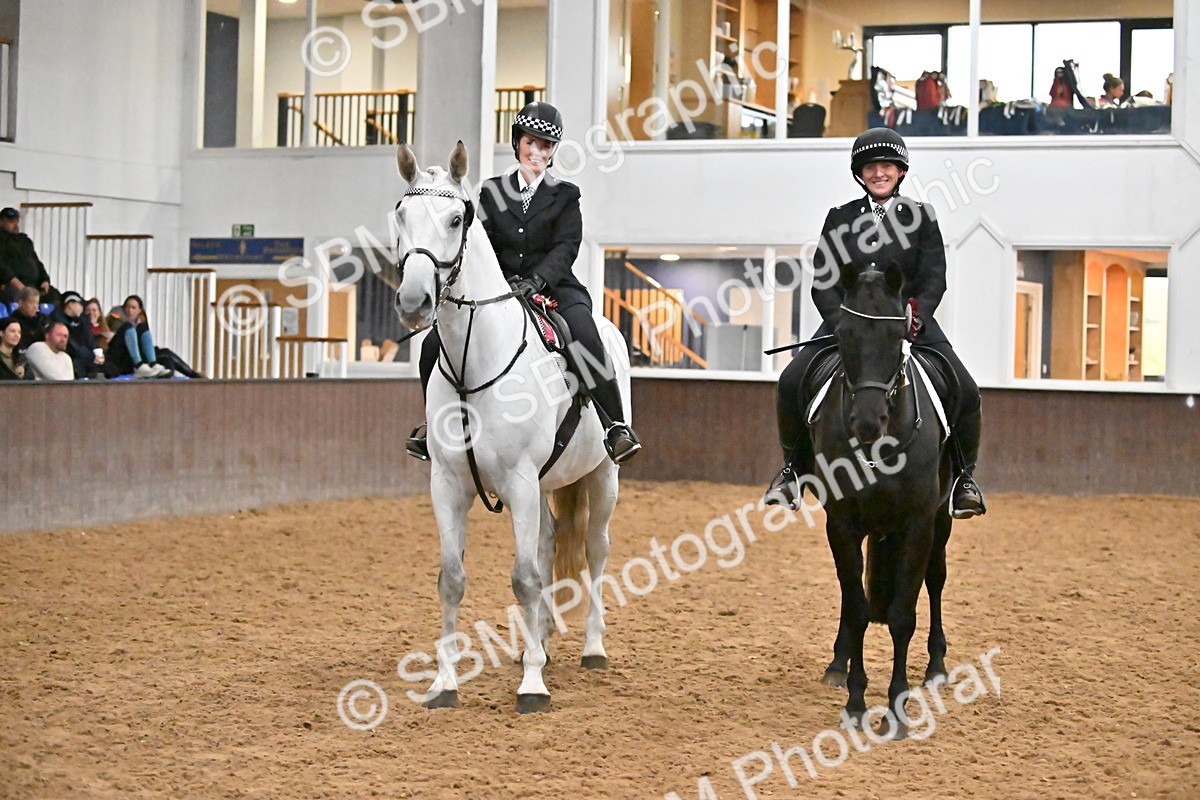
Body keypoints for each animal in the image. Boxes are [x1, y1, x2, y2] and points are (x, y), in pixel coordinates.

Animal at [391, 142, 629, 714]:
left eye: (457, 219)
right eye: (401, 214)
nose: (413, 303)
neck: (476, 359)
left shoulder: (520, 481)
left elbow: (523, 579)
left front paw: (533, 687)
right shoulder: (448, 484)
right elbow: (453, 580)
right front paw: (444, 684)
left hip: (602, 478)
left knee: (595, 550)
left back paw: (592, 649)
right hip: (540, 487)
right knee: (546, 544)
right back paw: (535, 643)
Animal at [803, 261, 954, 738]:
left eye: (896, 334)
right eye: (844, 333)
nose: (867, 422)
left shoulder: (919, 522)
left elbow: (903, 614)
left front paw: (897, 709)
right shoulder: (842, 523)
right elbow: (856, 607)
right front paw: (854, 702)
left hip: (942, 521)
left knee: (936, 580)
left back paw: (937, 665)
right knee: (853, 595)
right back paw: (837, 664)